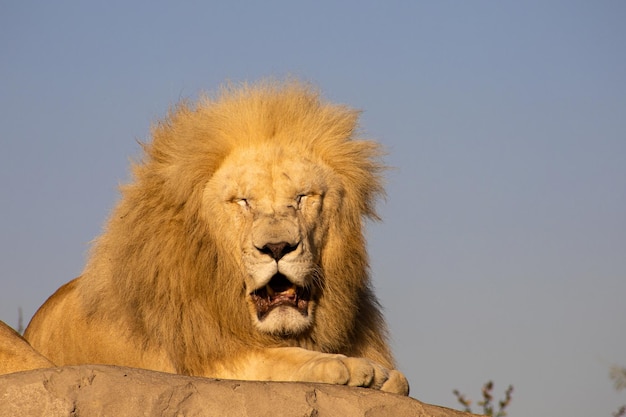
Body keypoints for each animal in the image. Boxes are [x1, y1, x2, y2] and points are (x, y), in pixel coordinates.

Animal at [25, 79, 410, 394]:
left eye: (303, 197)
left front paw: (384, 374)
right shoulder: (199, 359)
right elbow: (277, 359)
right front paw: (349, 366)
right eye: (243, 201)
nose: (277, 247)